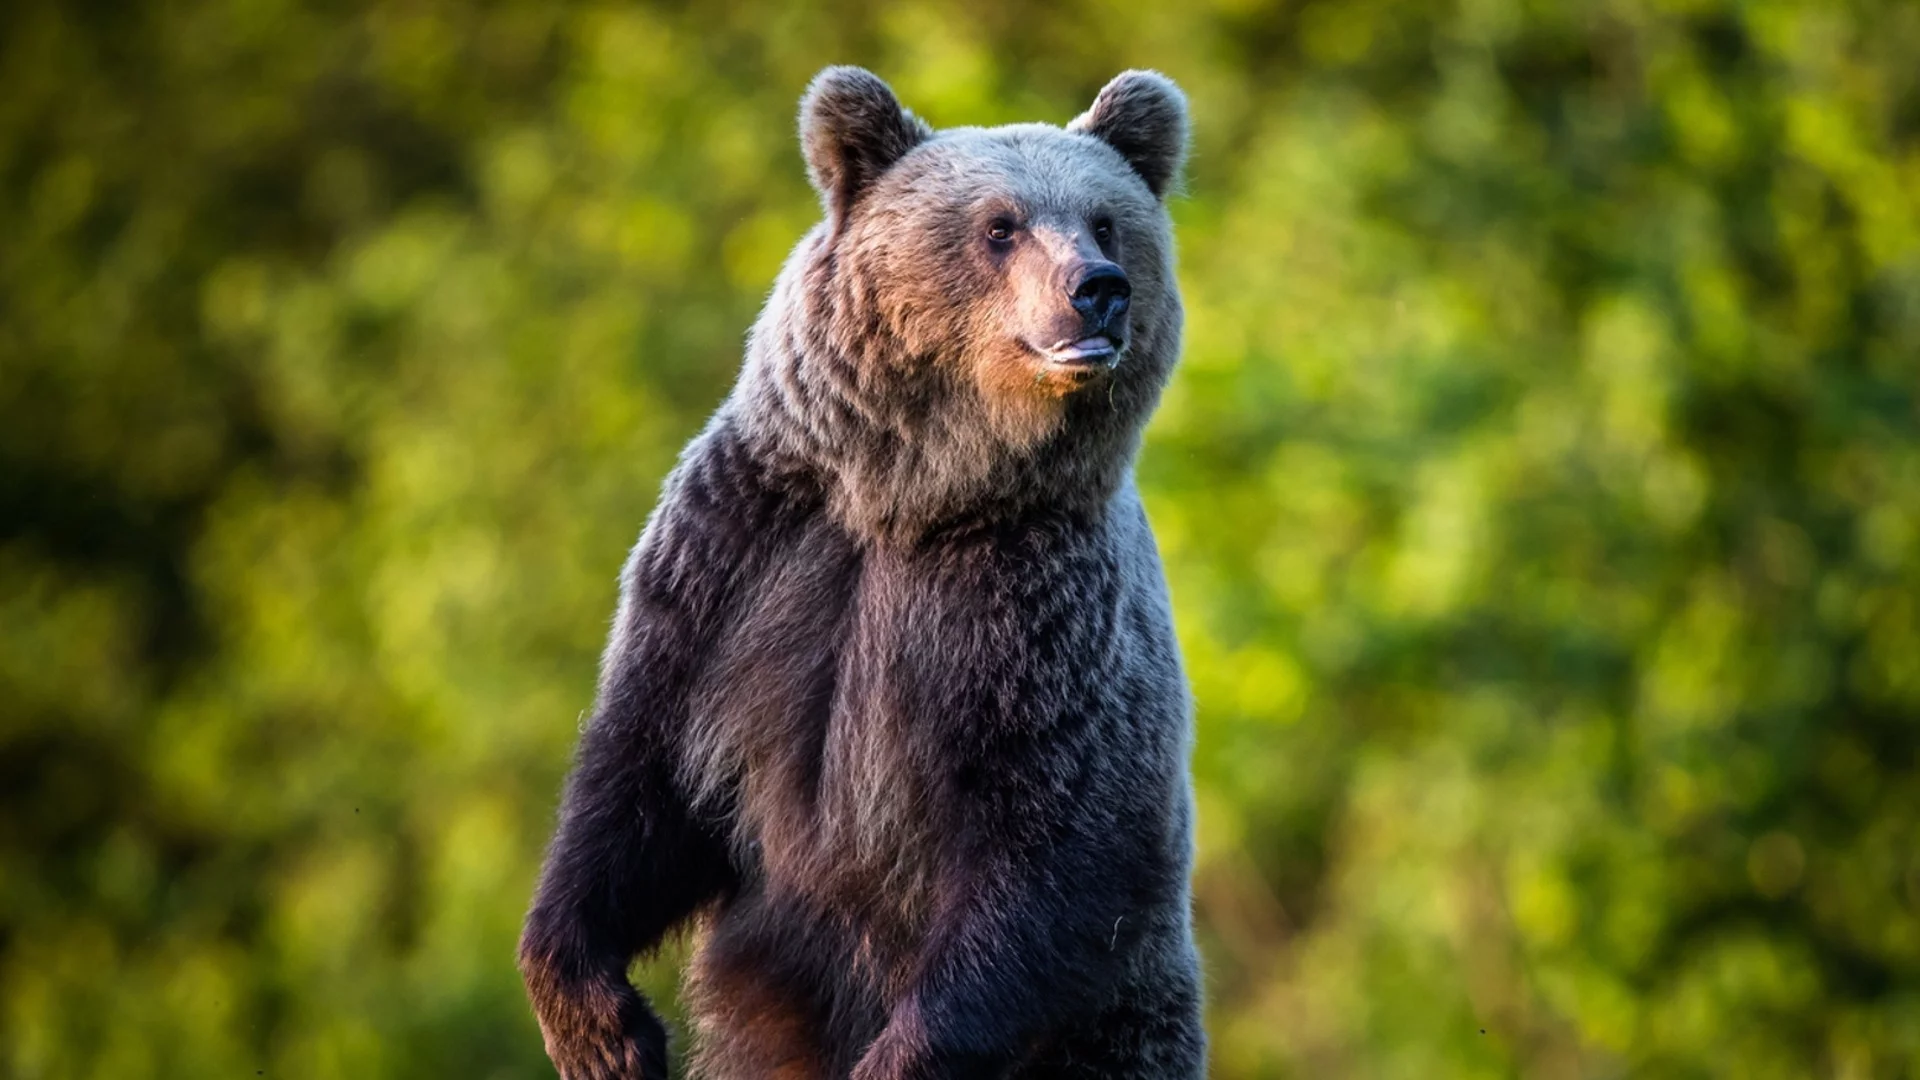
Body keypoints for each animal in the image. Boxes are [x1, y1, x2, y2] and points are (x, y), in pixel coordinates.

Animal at [518, 67, 1205, 1076]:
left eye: (1108, 221)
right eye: (1000, 226)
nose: (1098, 290)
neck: (915, 492)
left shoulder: (1037, 615)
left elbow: (1052, 845)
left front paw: (906, 1052)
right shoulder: (740, 557)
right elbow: (642, 777)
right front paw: (600, 1025)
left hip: (1118, 1026)